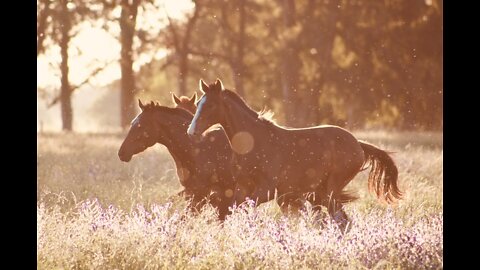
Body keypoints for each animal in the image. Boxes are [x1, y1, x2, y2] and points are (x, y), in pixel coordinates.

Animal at [188, 78, 402, 228]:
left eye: (210, 105)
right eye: (198, 103)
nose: (192, 132)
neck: (253, 143)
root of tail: (358, 144)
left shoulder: (267, 190)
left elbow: (243, 209)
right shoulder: (242, 186)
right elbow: (230, 210)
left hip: (331, 190)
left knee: (340, 220)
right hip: (320, 193)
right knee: (339, 220)